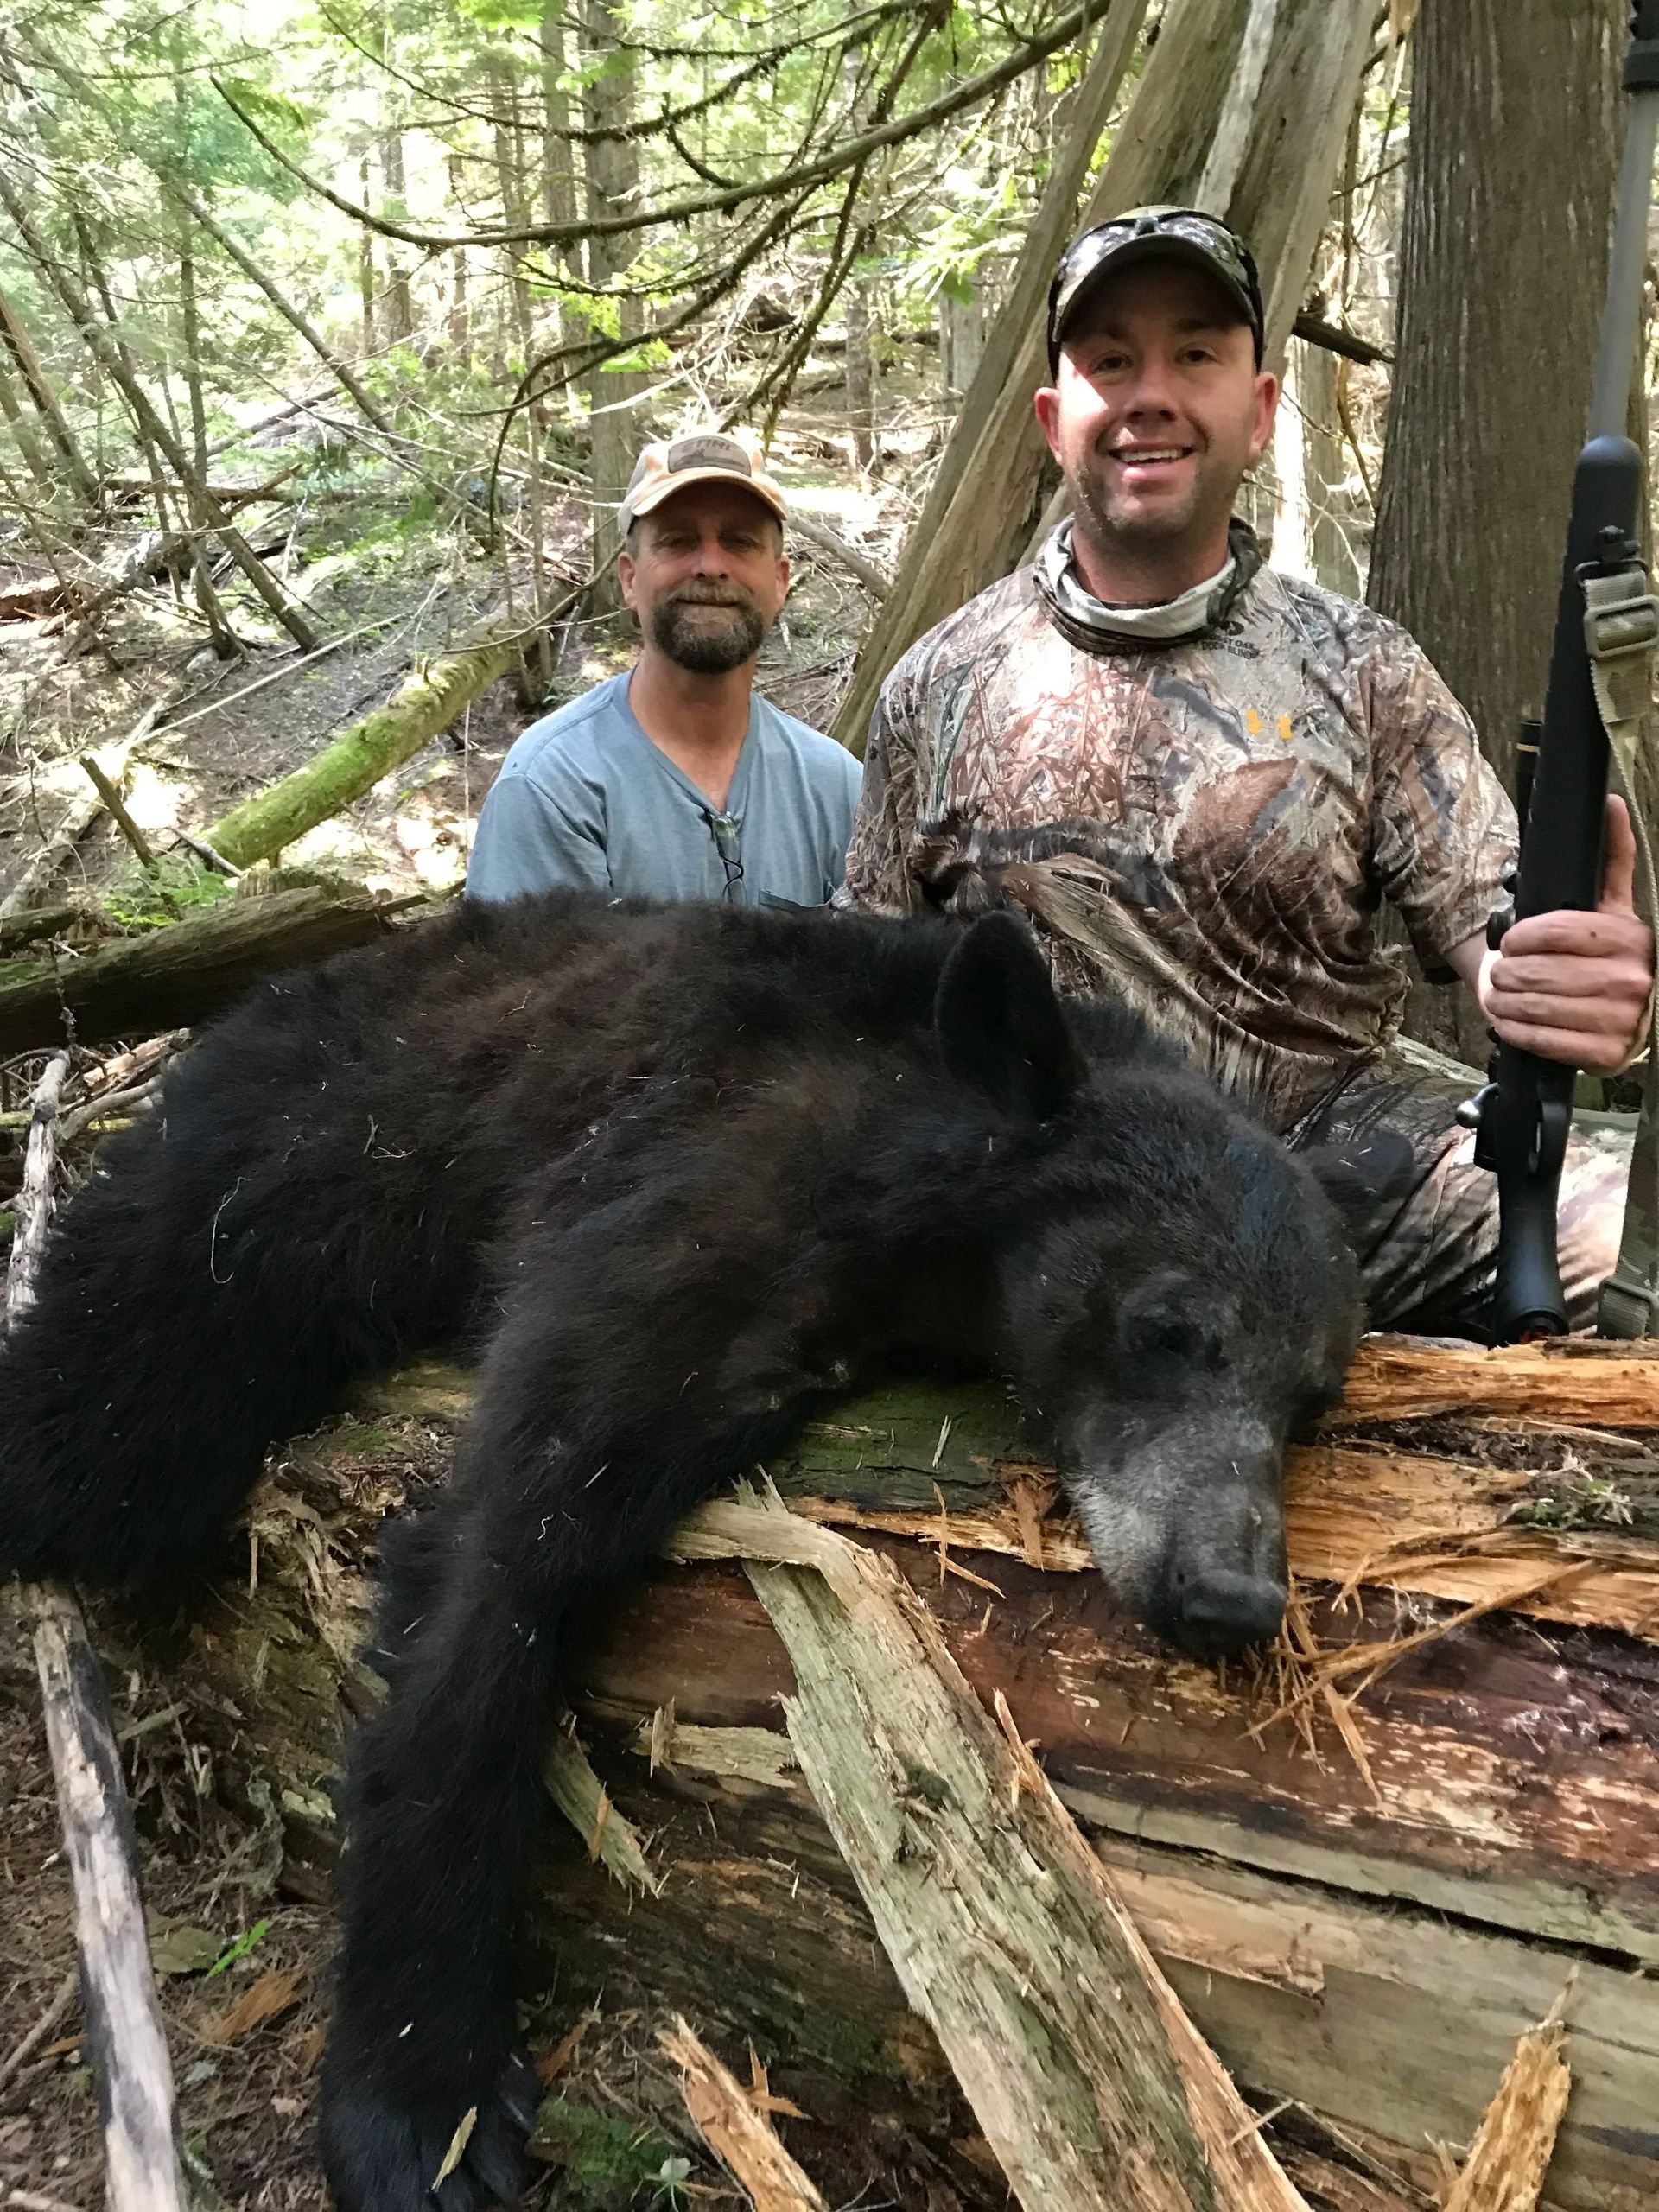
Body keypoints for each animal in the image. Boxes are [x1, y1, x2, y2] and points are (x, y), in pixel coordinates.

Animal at [0, 891, 1361, 2210]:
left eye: (1311, 1400)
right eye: (1169, 1324)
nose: (1232, 1593)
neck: (906, 1155)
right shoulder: (702, 1179)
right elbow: (508, 1549)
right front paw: (421, 2101)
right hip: (288, 1165)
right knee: (101, 1426)